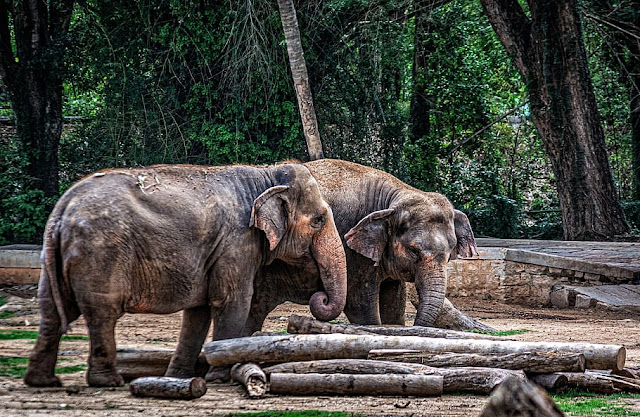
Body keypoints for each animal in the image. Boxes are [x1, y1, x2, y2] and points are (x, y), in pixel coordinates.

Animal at [24, 163, 347, 388]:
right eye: (318, 220)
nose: (319, 296)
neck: (265, 174)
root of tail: (62, 209)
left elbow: (198, 310)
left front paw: (178, 377)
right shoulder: (237, 242)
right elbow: (232, 301)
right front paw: (221, 377)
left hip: (54, 259)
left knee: (51, 312)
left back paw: (44, 382)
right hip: (101, 254)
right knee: (102, 312)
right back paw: (108, 381)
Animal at [245, 159, 477, 335]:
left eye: (449, 254)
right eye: (413, 250)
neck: (395, 196)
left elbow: (394, 300)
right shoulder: (351, 252)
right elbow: (360, 303)